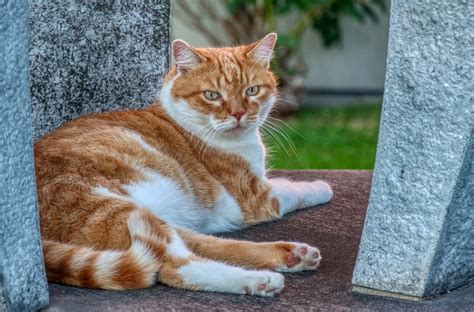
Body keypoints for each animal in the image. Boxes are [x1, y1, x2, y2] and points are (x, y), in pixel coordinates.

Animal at [35, 33, 334, 298]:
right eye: (212, 95)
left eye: (252, 90)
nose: (238, 114)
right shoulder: (256, 197)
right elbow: (293, 189)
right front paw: (322, 185)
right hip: (113, 210)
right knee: (177, 266)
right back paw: (258, 280)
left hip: (148, 219)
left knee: (201, 243)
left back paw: (294, 255)